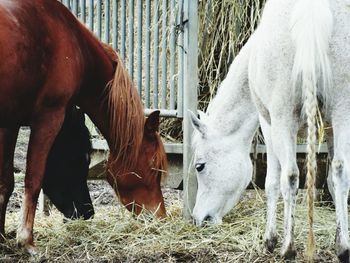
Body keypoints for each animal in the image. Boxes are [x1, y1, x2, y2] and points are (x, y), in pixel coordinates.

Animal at [0, 0, 168, 254]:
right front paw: (26, 240)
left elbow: (5, 182)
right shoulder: (48, 118)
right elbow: (33, 179)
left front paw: (1, 237)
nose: (160, 216)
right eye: (153, 167)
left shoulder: (9, 124)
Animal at [191, 0, 350, 262]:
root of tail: (312, 9)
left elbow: (272, 181)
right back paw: (344, 248)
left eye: (199, 166)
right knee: (340, 170)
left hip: (283, 117)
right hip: (342, 110)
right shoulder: (330, 127)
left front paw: (270, 239)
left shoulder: (268, 122)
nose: (199, 218)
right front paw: (339, 238)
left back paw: (288, 247)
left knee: (291, 175)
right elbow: (332, 179)